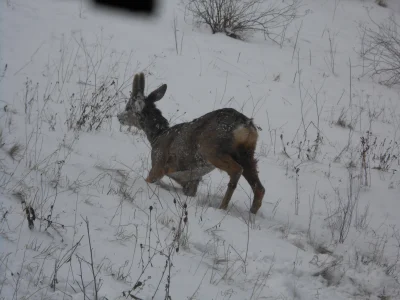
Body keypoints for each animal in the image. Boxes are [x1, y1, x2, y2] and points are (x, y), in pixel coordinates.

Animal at [116, 72, 266, 213]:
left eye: (128, 107)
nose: (118, 117)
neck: (158, 136)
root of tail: (245, 124)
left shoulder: (159, 164)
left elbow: (149, 180)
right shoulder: (191, 179)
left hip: (212, 150)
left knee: (236, 170)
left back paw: (222, 207)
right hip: (247, 153)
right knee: (260, 188)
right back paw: (252, 213)